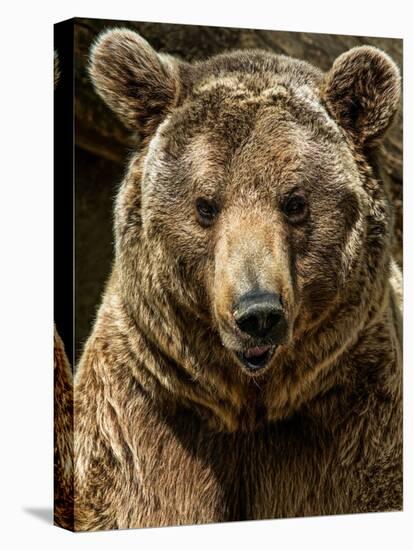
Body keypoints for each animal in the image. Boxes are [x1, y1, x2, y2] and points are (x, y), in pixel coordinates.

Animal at [67, 29, 402, 536]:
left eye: (295, 202)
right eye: (205, 205)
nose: (258, 313)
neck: (248, 402)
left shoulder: (359, 426)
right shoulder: (141, 423)